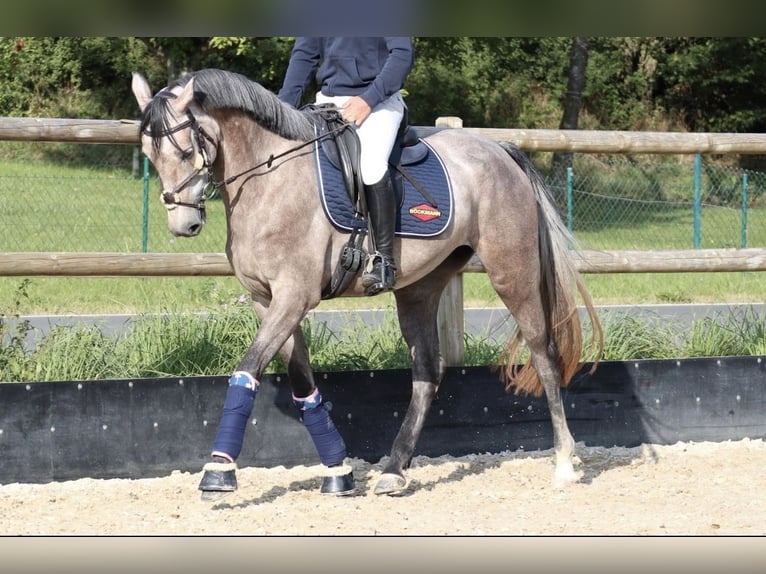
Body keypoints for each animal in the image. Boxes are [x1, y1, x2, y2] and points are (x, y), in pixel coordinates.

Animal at [134, 66, 608, 500]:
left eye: (185, 150)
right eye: (148, 154)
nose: (183, 224)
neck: (268, 180)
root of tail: (500, 150)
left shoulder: (294, 297)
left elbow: (247, 369)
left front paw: (219, 471)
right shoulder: (266, 300)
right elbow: (302, 383)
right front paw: (338, 472)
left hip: (513, 272)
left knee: (543, 354)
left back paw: (564, 465)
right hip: (419, 288)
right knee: (427, 371)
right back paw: (394, 470)